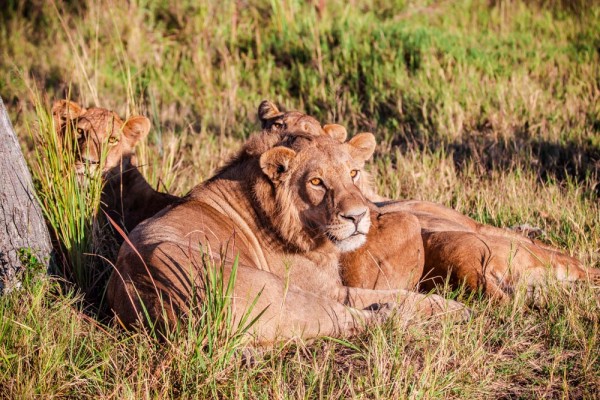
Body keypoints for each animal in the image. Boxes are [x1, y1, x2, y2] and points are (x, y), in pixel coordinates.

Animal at [106, 131, 468, 344]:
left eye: (353, 173)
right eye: (317, 182)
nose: (357, 217)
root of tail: (160, 290)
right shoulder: (328, 289)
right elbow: (400, 295)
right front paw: (448, 306)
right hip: (283, 294)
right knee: (348, 319)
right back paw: (394, 314)